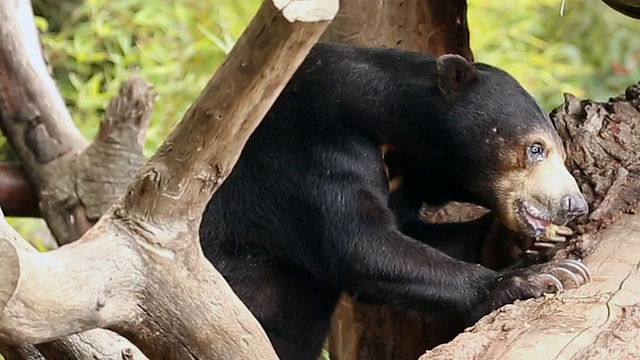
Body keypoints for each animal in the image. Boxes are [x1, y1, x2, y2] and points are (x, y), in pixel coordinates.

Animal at [199, 43, 592, 360]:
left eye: (559, 149)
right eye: (536, 148)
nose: (574, 205)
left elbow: (416, 233)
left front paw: (520, 240)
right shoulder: (310, 147)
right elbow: (361, 244)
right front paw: (544, 277)